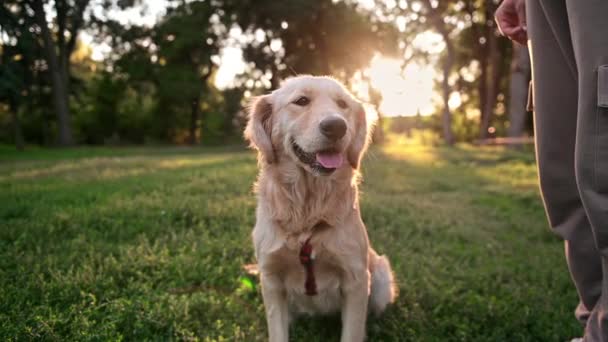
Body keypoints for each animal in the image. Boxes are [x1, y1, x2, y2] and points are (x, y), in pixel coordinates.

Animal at [245, 75, 396, 342]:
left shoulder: (356, 278)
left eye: (342, 104)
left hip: (380, 276)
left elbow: (352, 332)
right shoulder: (271, 279)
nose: (336, 126)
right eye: (301, 101)